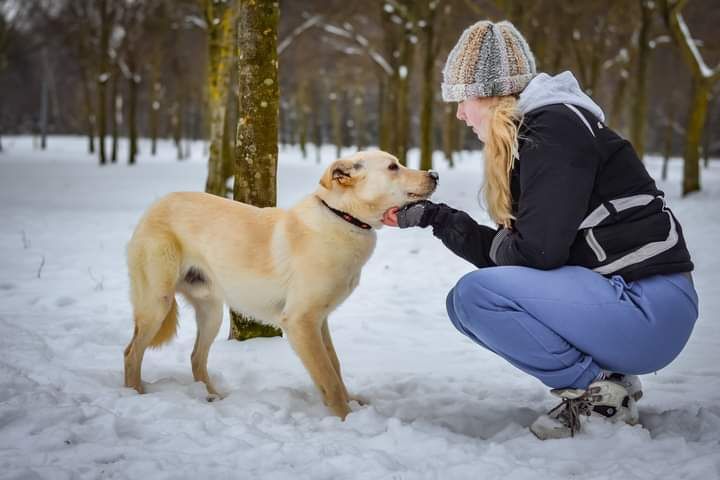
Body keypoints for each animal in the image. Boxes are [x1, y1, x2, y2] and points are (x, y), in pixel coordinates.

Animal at [123, 151, 436, 420]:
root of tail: (155, 205)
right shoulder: (300, 322)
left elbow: (334, 366)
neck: (342, 217)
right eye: (393, 167)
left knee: (195, 357)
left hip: (211, 312)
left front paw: (348, 405)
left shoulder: (319, 321)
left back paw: (212, 396)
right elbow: (328, 376)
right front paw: (345, 418)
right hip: (157, 303)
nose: (434, 174)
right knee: (131, 353)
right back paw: (135, 394)